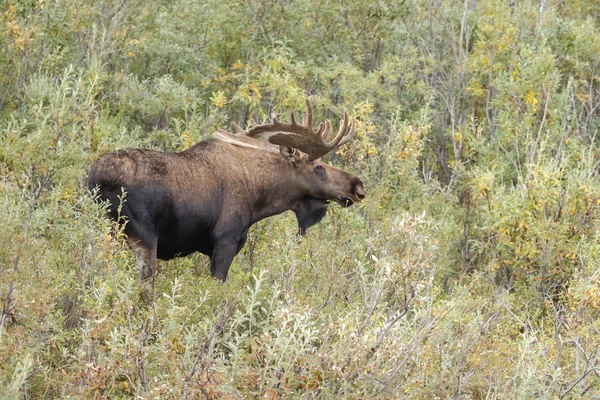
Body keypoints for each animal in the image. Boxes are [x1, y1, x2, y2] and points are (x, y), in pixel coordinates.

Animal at [86, 99, 364, 288]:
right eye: (319, 167)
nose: (357, 186)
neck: (260, 196)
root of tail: (94, 179)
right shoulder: (225, 240)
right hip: (140, 237)